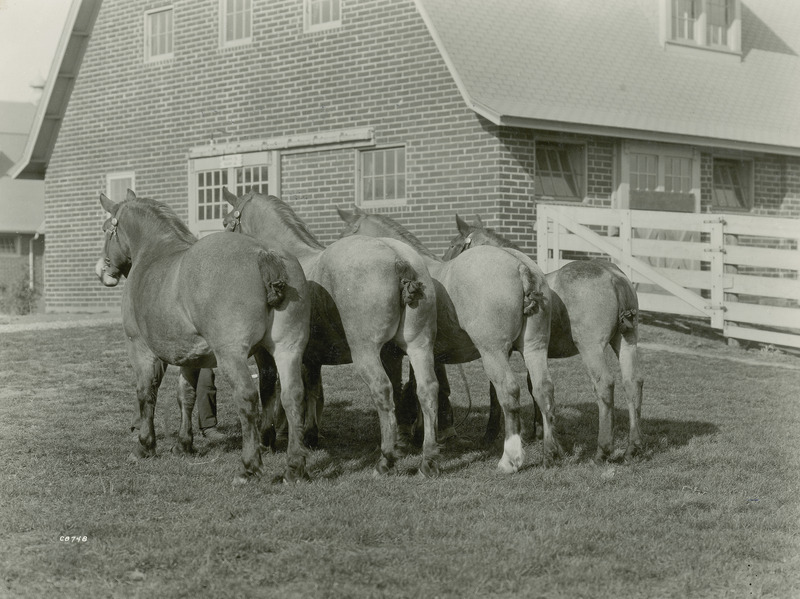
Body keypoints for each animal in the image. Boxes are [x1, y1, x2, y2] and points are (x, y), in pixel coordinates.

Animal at [92, 190, 308, 486]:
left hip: (232, 355)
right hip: (287, 350)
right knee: (292, 395)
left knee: (247, 397)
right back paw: (294, 467)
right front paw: (183, 444)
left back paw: (249, 466)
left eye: (106, 229)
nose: (101, 270)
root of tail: (264, 252)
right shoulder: (190, 356)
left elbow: (146, 393)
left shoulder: (140, 348)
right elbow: (187, 395)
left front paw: (145, 445)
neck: (154, 253)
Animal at [222, 191, 440, 478]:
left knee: (382, 390)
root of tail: (398, 259)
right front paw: (309, 436)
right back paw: (428, 459)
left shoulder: (267, 355)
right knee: (427, 389)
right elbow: (313, 392)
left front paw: (269, 439)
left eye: (226, 222)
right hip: (419, 346)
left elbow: (271, 390)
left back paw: (386, 460)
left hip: (367, 351)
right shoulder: (311, 357)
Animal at [334, 206, 560, 474]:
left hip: (492, 351)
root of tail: (521, 266)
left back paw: (510, 459)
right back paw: (549, 453)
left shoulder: (393, 353)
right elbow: (429, 388)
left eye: (454, 245)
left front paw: (406, 440)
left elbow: (403, 390)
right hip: (534, 347)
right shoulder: (429, 353)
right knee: (543, 389)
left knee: (509, 389)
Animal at [444, 216, 644, 464]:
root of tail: (613, 276)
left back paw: (602, 450)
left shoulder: (502, 350)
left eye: (454, 245)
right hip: (626, 341)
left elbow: (496, 392)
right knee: (633, 382)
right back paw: (633, 447)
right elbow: (535, 386)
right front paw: (540, 431)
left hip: (591, 347)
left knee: (605, 384)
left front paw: (493, 434)